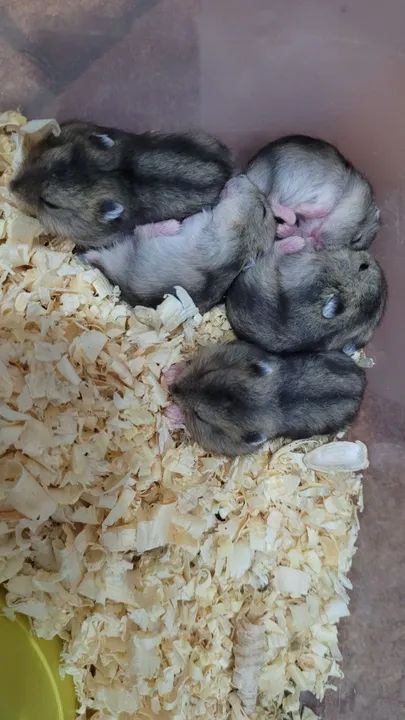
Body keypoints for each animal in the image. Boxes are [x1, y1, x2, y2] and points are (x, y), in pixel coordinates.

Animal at [80, 175, 276, 313]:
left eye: (263, 210)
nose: (242, 176)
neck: (241, 240)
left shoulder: (201, 225)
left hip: (139, 249)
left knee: (140, 233)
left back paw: (172, 225)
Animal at [164, 341, 366, 457]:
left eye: (199, 416)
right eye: (207, 372)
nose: (172, 389)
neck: (274, 400)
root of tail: (363, 383)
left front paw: (171, 411)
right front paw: (170, 373)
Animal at [246, 135, 380, 250]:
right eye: (357, 238)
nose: (318, 243)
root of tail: (247, 174)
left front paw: (284, 230)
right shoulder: (332, 189)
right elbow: (325, 207)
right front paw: (300, 209)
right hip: (281, 179)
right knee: (272, 200)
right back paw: (293, 212)